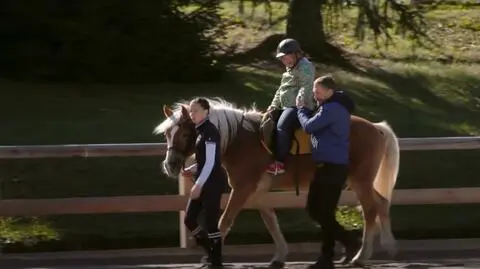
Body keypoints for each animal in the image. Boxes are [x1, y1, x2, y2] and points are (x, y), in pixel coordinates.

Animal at [155, 96, 402, 266]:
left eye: (185, 134)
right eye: (167, 134)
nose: (171, 165)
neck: (239, 140)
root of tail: (376, 128)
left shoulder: (242, 189)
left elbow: (225, 220)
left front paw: (211, 256)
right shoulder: (256, 192)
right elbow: (270, 221)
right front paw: (280, 255)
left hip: (361, 181)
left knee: (370, 211)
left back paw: (361, 255)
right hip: (361, 182)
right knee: (381, 202)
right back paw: (387, 246)